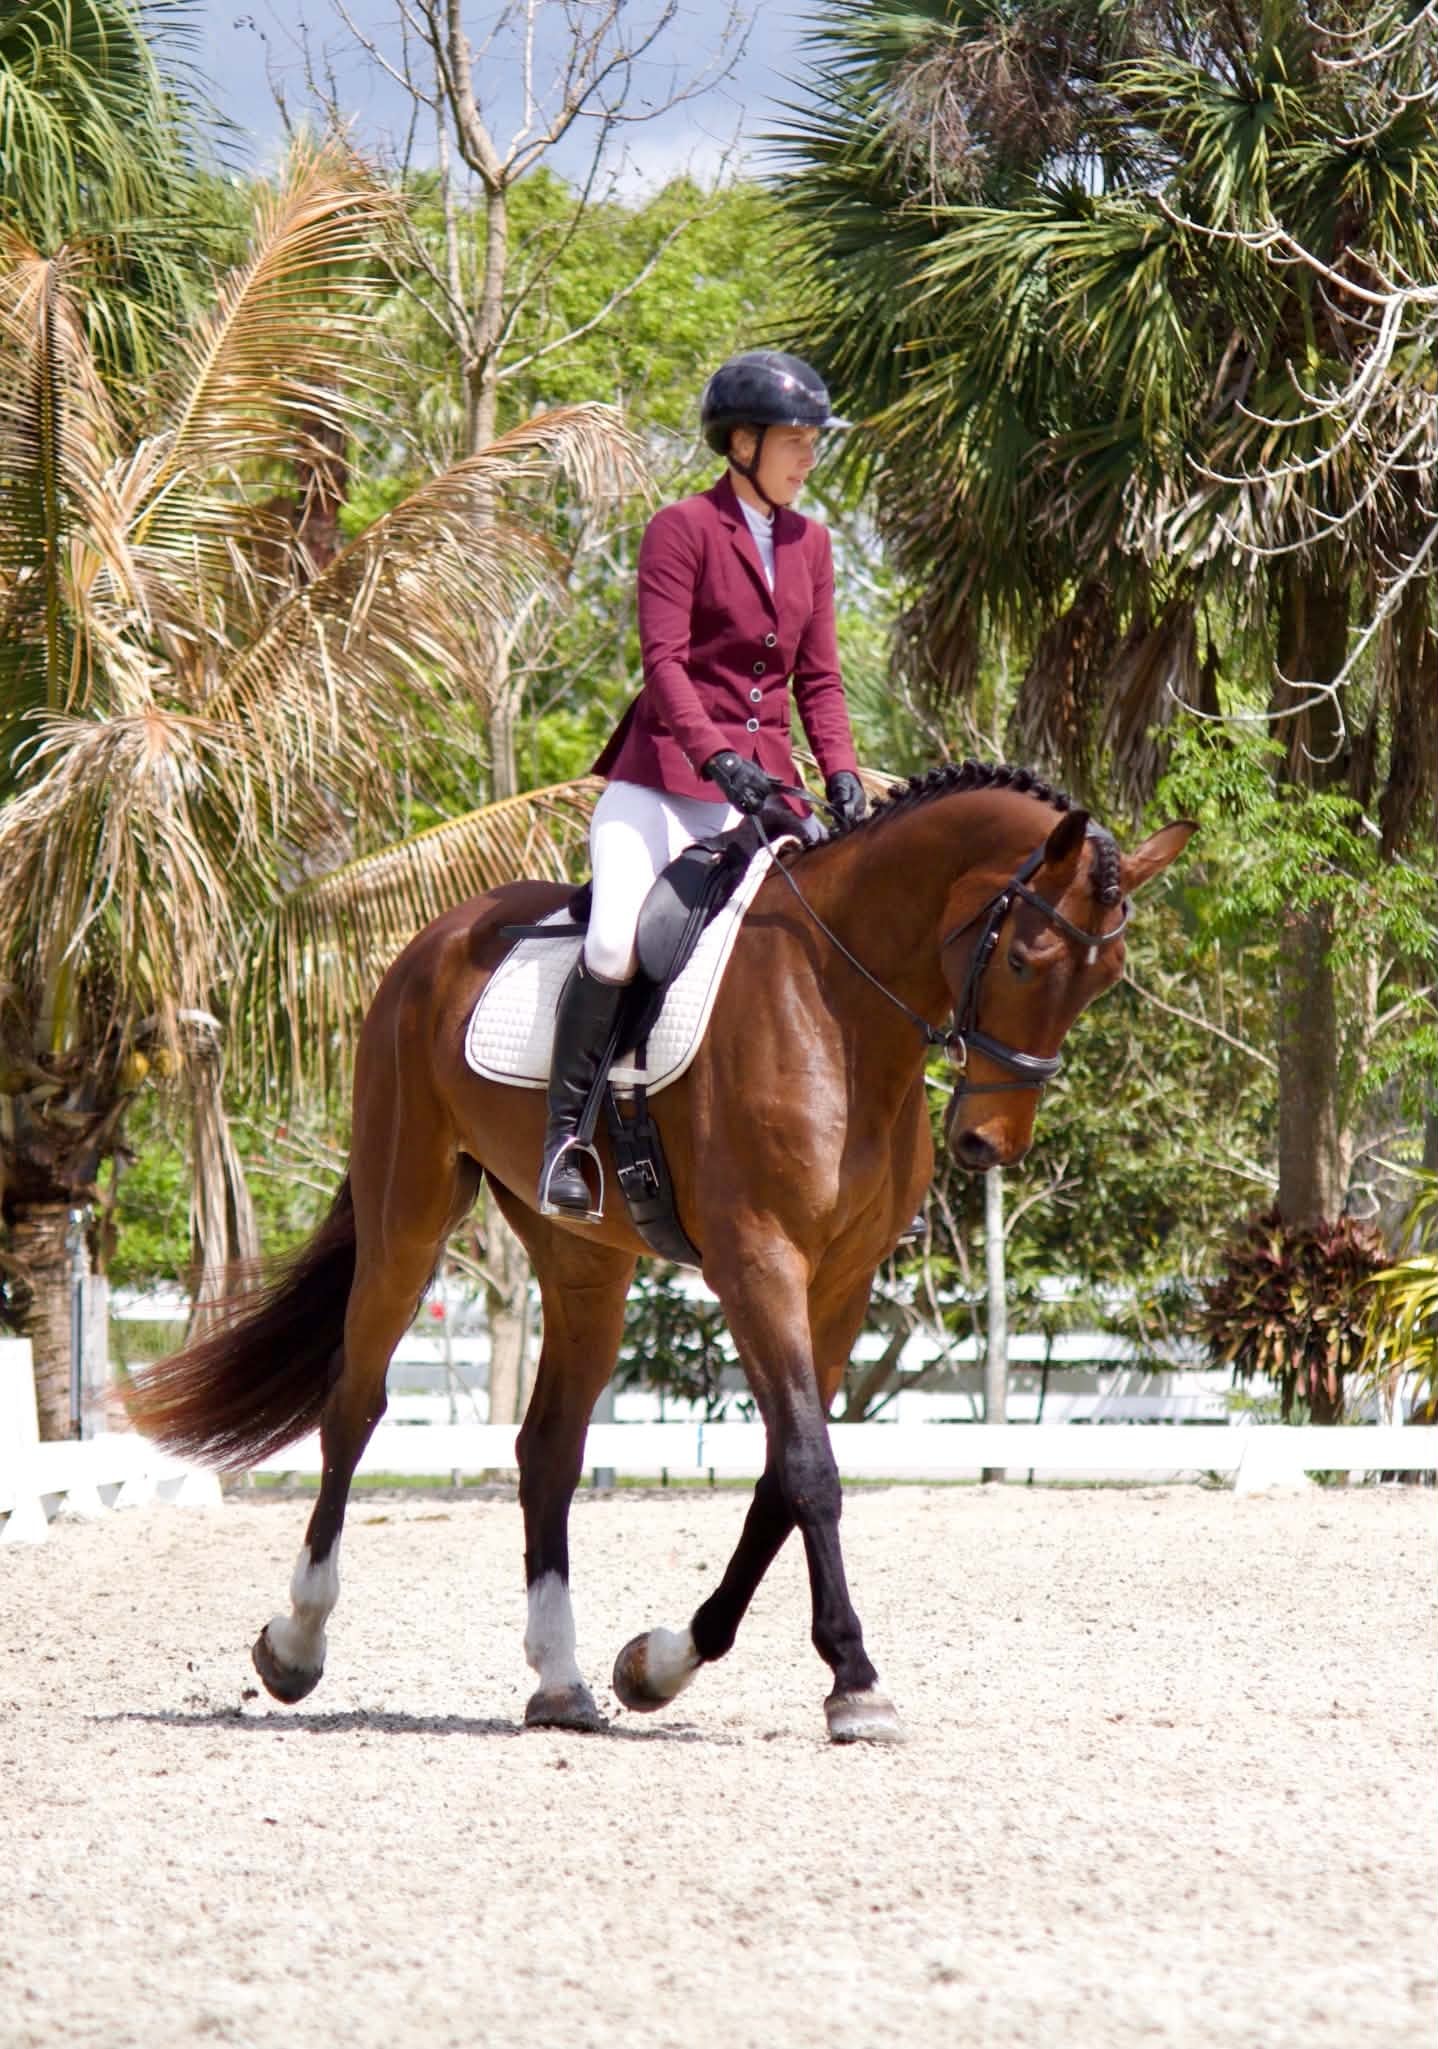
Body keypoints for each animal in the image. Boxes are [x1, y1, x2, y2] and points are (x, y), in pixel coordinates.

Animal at [126, 761, 1193, 1743]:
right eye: (1024, 958)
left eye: (1103, 979)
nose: (988, 1146)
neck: (838, 1006)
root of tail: (427, 945)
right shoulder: (757, 1263)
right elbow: (808, 1467)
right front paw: (855, 1681)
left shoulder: (840, 1282)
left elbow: (778, 1481)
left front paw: (659, 1664)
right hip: (408, 1216)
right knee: (354, 1406)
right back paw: (296, 1643)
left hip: (583, 1259)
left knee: (548, 1445)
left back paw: (560, 1682)